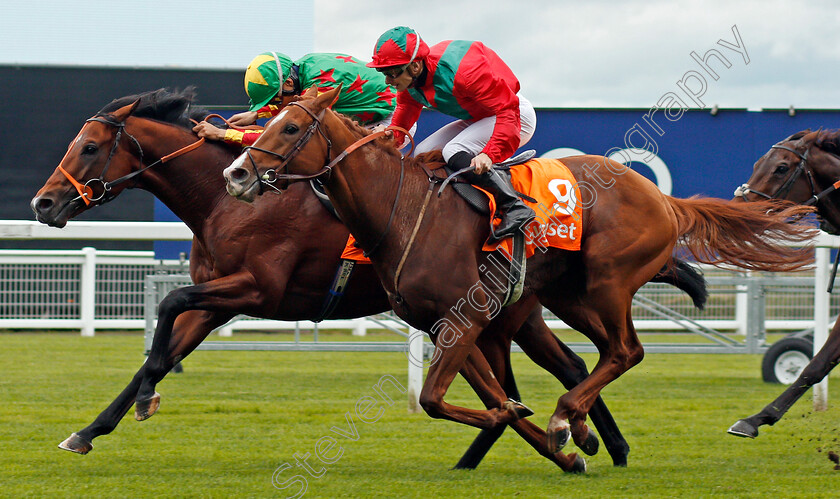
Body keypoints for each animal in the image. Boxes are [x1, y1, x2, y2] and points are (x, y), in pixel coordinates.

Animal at [26, 87, 684, 472]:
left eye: (89, 148)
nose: (43, 203)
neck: (223, 199)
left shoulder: (256, 288)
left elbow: (168, 312)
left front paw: (140, 403)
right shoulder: (219, 303)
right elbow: (159, 354)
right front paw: (90, 429)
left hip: (549, 303)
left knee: (582, 362)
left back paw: (583, 437)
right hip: (521, 312)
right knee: (553, 372)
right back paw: (588, 442)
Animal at [223, 87, 820, 464]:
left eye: (290, 126)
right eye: (265, 122)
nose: (236, 174)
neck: (405, 208)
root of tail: (663, 198)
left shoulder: (465, 320)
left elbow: (439, 400)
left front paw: (534, 427)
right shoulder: (450, 325)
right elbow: (489, 398)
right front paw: (544, 435)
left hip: (608, 282)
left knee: (626, 351)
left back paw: (568, 419)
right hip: (569, 296)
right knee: (599, 355)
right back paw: (580, 428)